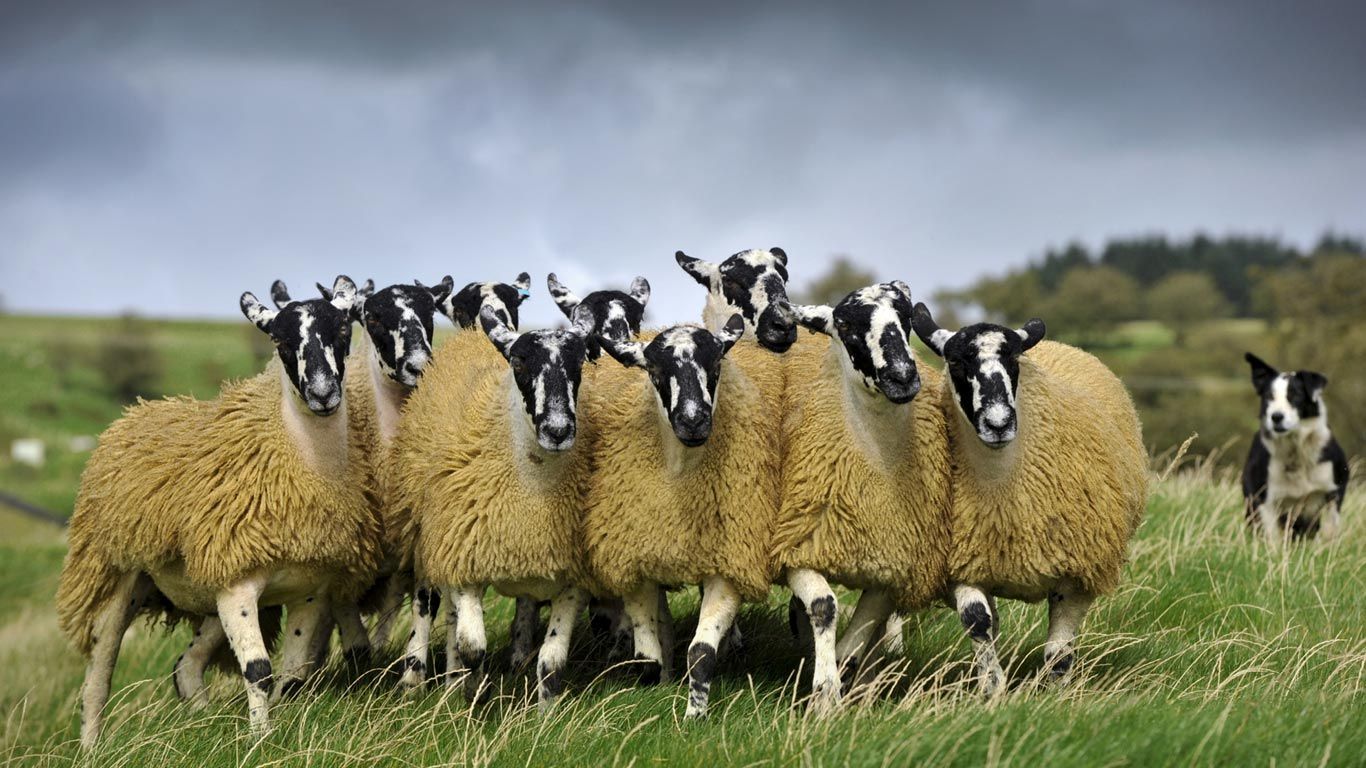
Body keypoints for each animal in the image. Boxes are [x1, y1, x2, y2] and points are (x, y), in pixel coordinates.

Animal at [56, 276, 383, 746]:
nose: (323, 395)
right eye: (280, 340)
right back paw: (92, 748)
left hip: (205, 588)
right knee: (98, 676)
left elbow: (294, 675)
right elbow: (259, 671)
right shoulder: (238, 587)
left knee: (185, 667)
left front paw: (284, 729)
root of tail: (136, 412)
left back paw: (201, 722)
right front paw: (260, 741)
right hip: (115, 572)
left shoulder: (309, 589)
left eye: (342, 329)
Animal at [394, 304, 599, 708]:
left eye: (580, 363)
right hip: (431, 535)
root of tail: (472, 334)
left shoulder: (572, 575)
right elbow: (473, 646)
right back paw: (417, 682)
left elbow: (552, 660)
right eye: (519, 363)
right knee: (428, 607)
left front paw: (546, 713)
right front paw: (473, 698)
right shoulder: (462, 554)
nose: (558, 430)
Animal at [588, 314, 782, 718]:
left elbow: (702, 652)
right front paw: (650, 695)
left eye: (716, 366)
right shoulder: (637, 564)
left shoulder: (728, 565)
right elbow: (646, 656)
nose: (693, 421)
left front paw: (695, 716)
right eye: (655, 371)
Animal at [771, 283, 953, 706]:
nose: (902, 376)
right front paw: (824, 693)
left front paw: (841, 687)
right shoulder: (797, 548)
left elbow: (855, 642)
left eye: (906, 317)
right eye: (844, 324)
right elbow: (824, 607)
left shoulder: (890, 570)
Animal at [911, 304, 1148, 695]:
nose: (998, 424)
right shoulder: (962, 561)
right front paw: (992, 688)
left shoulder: (1076, 572)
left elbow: (1058, 651)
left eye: (1014, 359)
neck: (1001, 489)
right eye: (956, 361)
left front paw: (1055, 695)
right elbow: (978, 622)